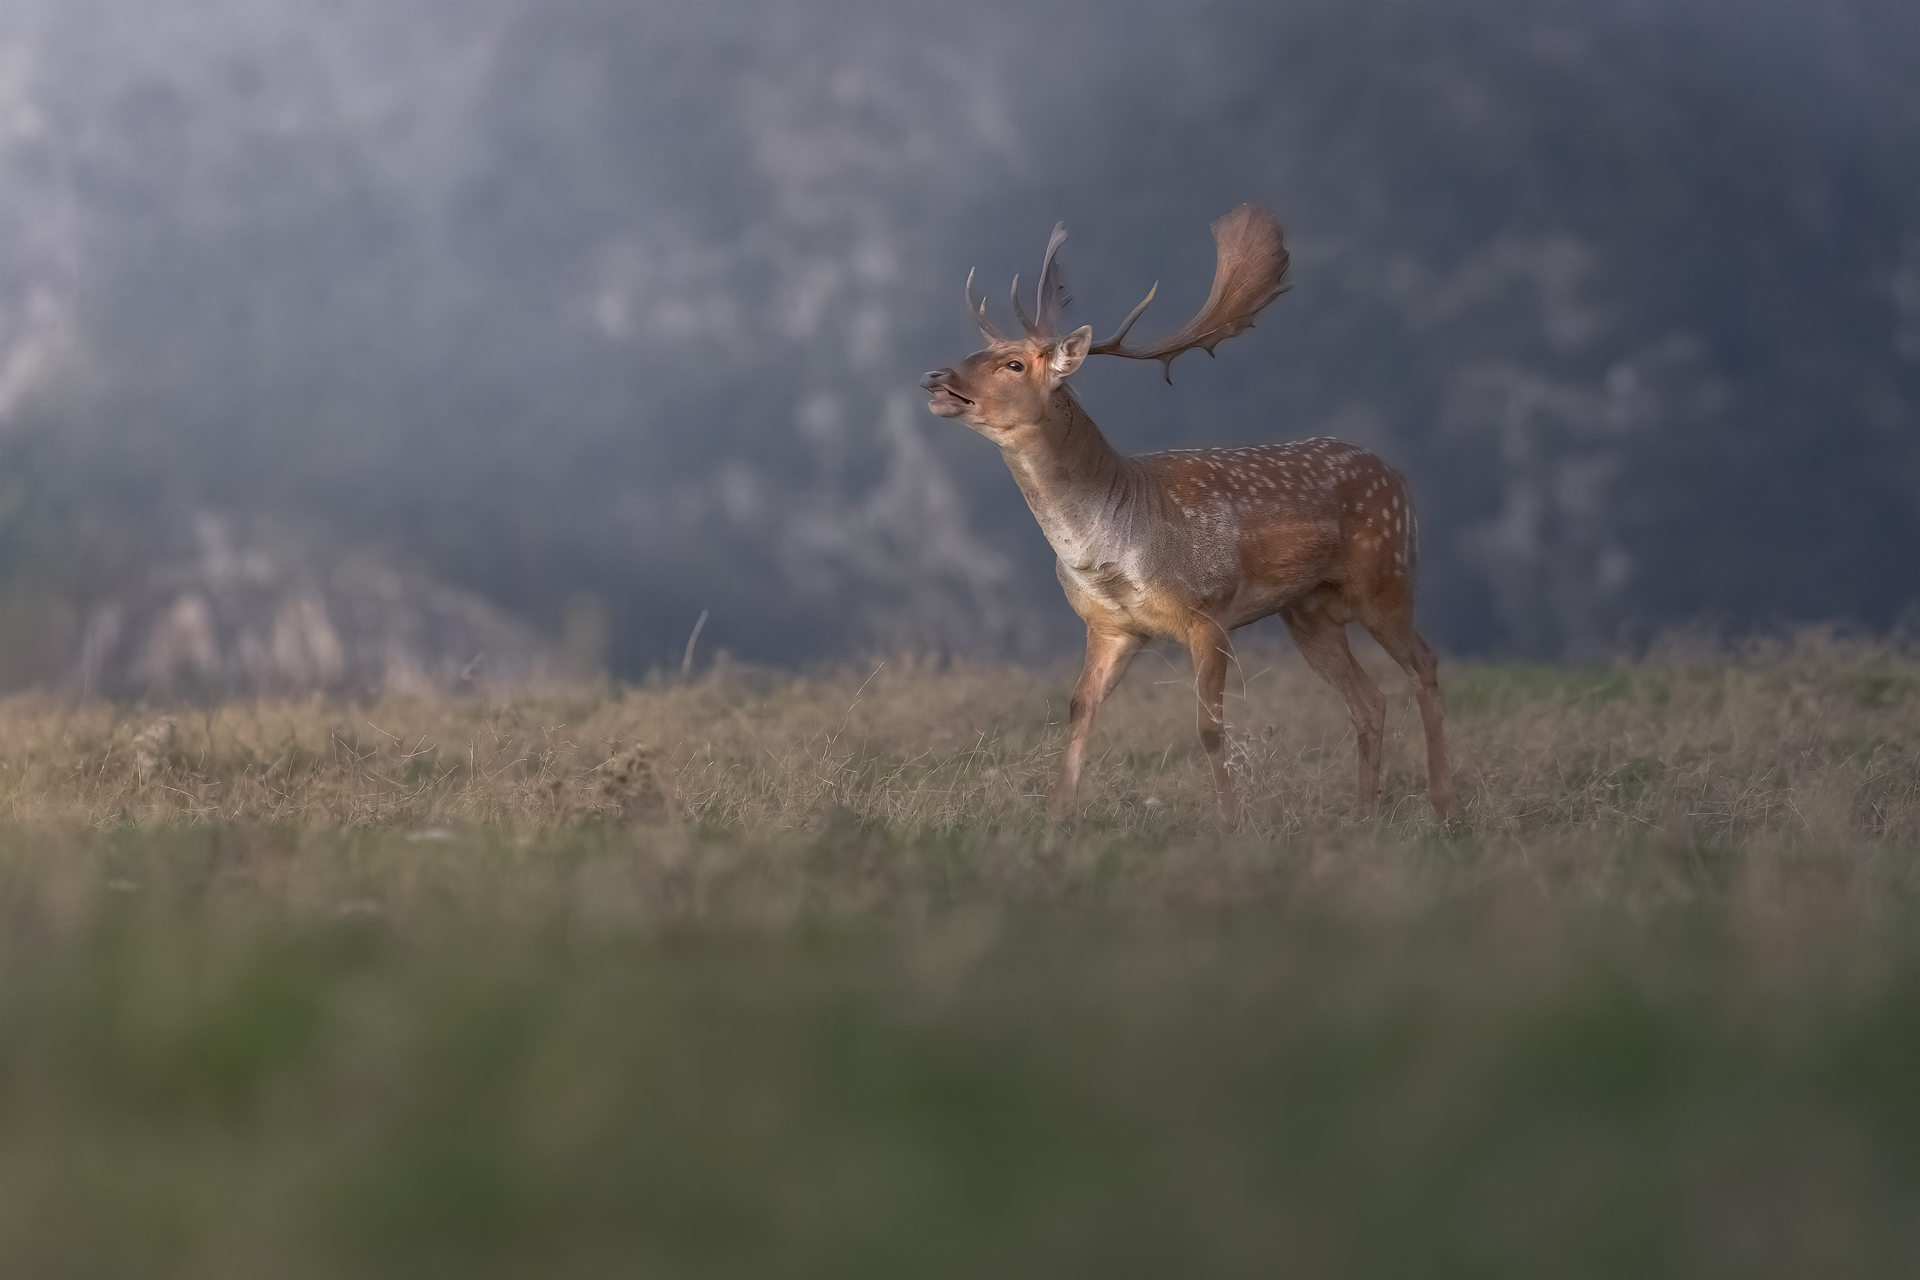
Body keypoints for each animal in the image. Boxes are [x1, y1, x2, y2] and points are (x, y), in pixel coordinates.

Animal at [920, 205, 1457, 825]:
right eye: (977, 352)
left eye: (1012, 364)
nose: (936, 379)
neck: (1109, 548)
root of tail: (1399, 477)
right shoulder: (1109, 626)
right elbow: (1078, 712)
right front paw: (1057, 817)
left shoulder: (1209, 612)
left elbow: (1209, 729)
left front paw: (1232, 822)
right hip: (1308, 611)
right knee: (1370, 700)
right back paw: (1364, 813)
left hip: (1387, 578)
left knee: (1424, 662)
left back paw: (1444, 805)